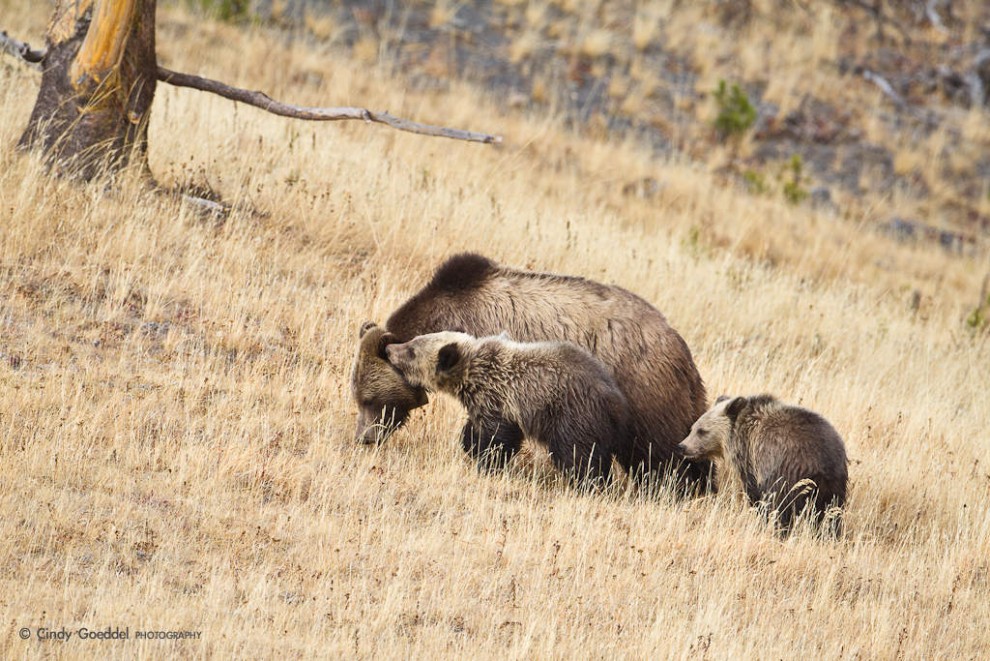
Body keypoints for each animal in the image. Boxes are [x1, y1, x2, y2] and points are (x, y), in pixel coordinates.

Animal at [386, 332, 628, 488]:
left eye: (411, 350)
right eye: (413, 340)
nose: (388, 348)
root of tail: (613, 397)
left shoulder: (500, 401)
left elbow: (498, 442)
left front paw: (485, 464)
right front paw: (469, 443)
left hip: (573, 419)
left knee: (580, 458)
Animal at [680, 394, 852, 532]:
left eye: (702, 431)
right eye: (693, 428)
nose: (683, 446)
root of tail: (821, 463)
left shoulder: (753, 461)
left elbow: (757, 495)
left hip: (788, 473)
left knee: (782, 507)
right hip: (834, 484)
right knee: (829, 514)